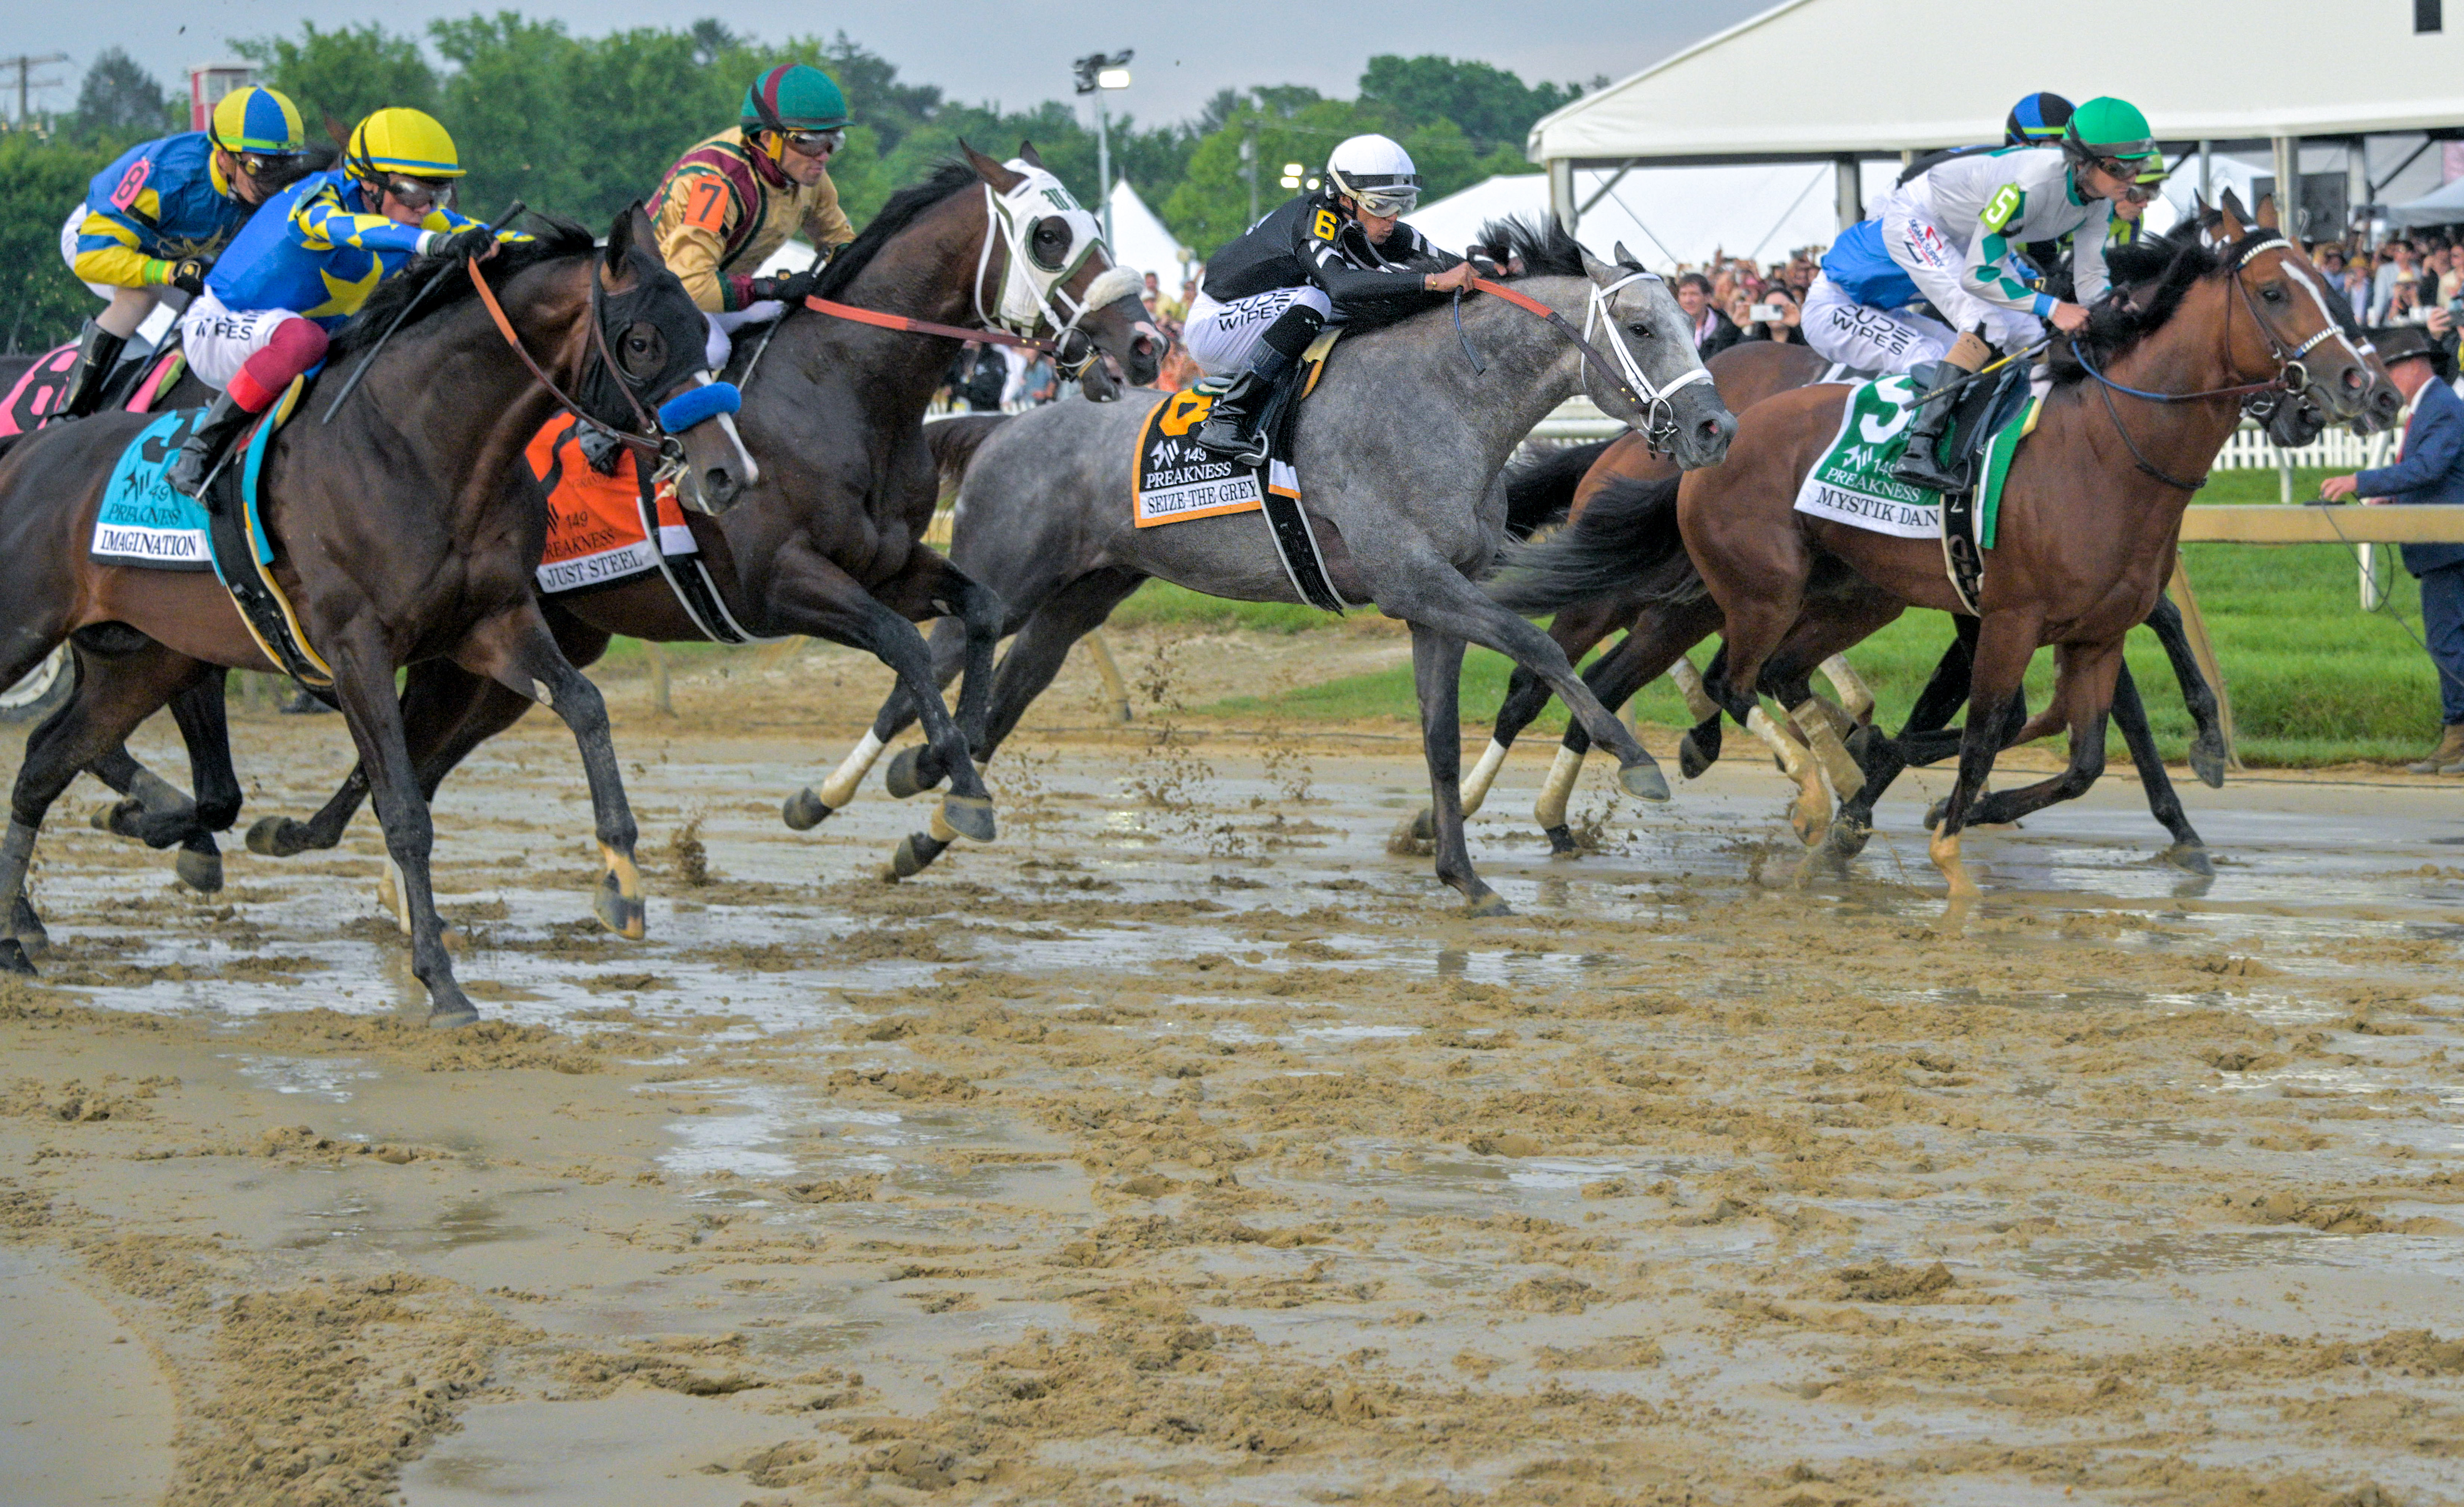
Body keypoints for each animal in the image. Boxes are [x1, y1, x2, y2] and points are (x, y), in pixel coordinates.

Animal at [0, 209, 749, 1024]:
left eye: (703, 328)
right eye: (641, 342)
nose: (728, 471)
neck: (422, 447)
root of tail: (25, 448)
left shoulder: (493, 621)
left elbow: (585, 705)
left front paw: (621, 878)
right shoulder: (357, 648)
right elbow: (404, 809)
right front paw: (442, 982)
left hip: (142, 660)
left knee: (42, 763)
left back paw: (16, 936)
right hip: (29, 629)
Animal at [226, 144, 1158, 871]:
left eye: (1091, 223)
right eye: (1048, 236)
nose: (1146, 344)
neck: (842, 386)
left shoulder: (889, 563)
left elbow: (980, 611)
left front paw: (933, 767)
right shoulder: (780, 582)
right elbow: (905, 645)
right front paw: (947, 778)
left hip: (518, 645)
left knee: (420, 755)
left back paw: (311, 846)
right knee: (397, 751)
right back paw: (291, 837)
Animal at [808, 216, 1734, 911]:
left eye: (1687, 321)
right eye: (1643, 327)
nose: (1715, 429)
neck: (1444, 400)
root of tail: (1002, 425)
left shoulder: (1434, 601)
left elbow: (1439, 737)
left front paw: (1463, 876)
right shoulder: (1415, 579)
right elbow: (1538, 646)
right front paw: (1639, 759)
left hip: (1078, 600)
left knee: (1004, 699)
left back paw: (929, 822)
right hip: (1004, 576)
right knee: (919, 673)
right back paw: (843, 792)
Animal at [1488, 204, 2375, 901]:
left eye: (2325, 283)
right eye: (2272, 293)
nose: (2358, 386)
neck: (2106, 445)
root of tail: (1694, 436)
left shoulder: (2087, 627)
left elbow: (2083, 747)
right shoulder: (2007, 616)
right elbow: (1992, 727)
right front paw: (1935, 821)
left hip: (1835, 596)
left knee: (1733, 676)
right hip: (1749, 591)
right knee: (1656, 681)